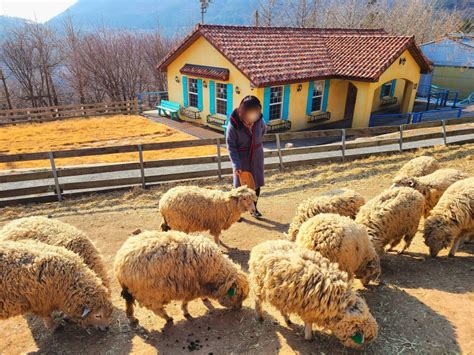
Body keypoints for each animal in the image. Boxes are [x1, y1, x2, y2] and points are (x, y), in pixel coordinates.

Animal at [114, 231, 250, 326]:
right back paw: (167, 317)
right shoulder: (191, 287)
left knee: (128, 305)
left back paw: (132, 318)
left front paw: (204, 298)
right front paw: (186, 311)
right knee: (156, 308)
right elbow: (186, 302)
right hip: (149, 294)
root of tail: (119, 263)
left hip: (131, 291)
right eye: (239, 295)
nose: (239, 308)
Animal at [248, 241, 378, 350]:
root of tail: (260, 246)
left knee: (281, 307)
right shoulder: (309, 310)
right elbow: (309, 323)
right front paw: (309, 336)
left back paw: (287, 319)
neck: (341, 303)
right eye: (364, 339)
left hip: (281, 293)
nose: (362, 349)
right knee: (257, 301)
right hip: (259, 284)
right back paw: (260, 317)